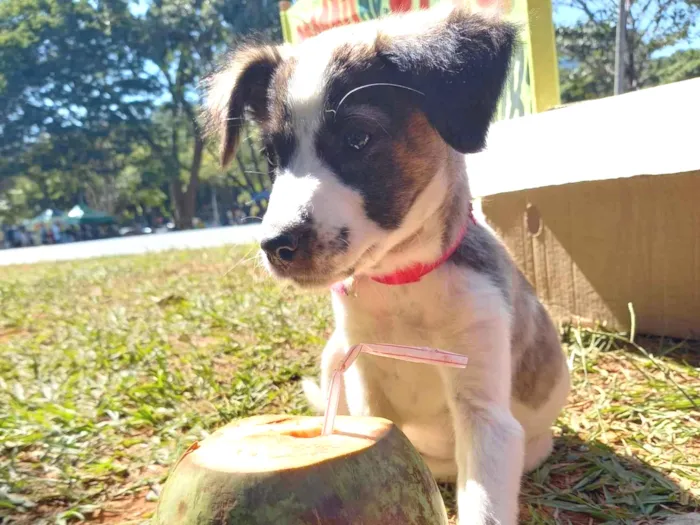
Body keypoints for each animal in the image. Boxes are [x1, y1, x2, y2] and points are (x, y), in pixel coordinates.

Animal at [202, 6, 568, 520]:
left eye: (358, 138)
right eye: (273, 156)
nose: (275, 245)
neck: (403, 286)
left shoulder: (486, 412)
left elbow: (484, 503)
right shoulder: (365, 384)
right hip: (334, 353)